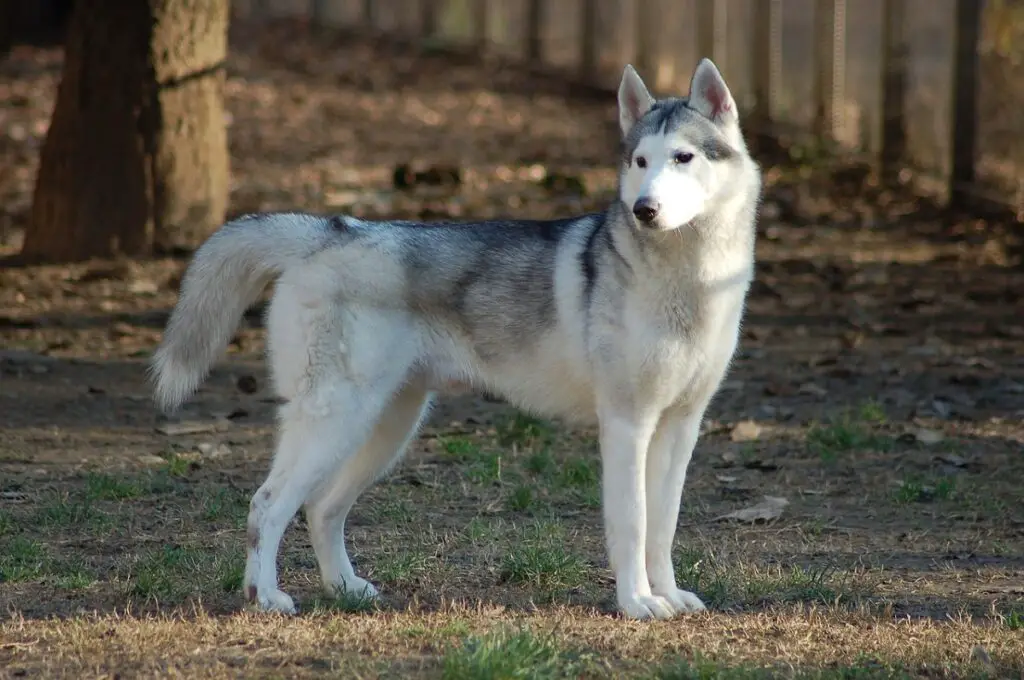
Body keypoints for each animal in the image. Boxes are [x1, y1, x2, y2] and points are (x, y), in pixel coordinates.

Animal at [149, 59, 761, 622]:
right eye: (640, 162)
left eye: (683, 158)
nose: (644, 209)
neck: (690, 281)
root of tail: (332, 231)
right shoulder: (626, 423)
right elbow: (632, 524)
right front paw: (637, 602)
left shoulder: (680, 426)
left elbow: (663, 525)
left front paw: (669, 595)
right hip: (337, 419)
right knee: (267, 504)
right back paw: (265, 597)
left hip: (387, 426)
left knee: (322, 508)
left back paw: (344, 588)